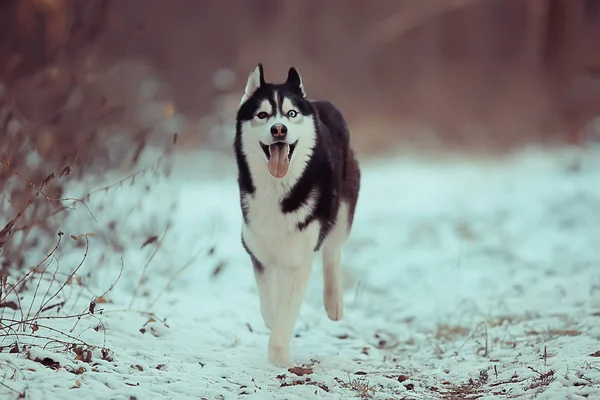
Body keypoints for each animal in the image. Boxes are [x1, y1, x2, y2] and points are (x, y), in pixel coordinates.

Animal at [234, 64, 360, 368]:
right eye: (263, 115)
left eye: (291, 114)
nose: (279, 129)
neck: (277, 190)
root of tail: (319, 102)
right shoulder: (259, 250)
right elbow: (270, 302)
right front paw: (273, 319)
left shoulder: (300, 257)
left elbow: (287, 309)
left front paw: (278, 355)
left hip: (341, 212)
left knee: (333, 251)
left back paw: (333, 302)